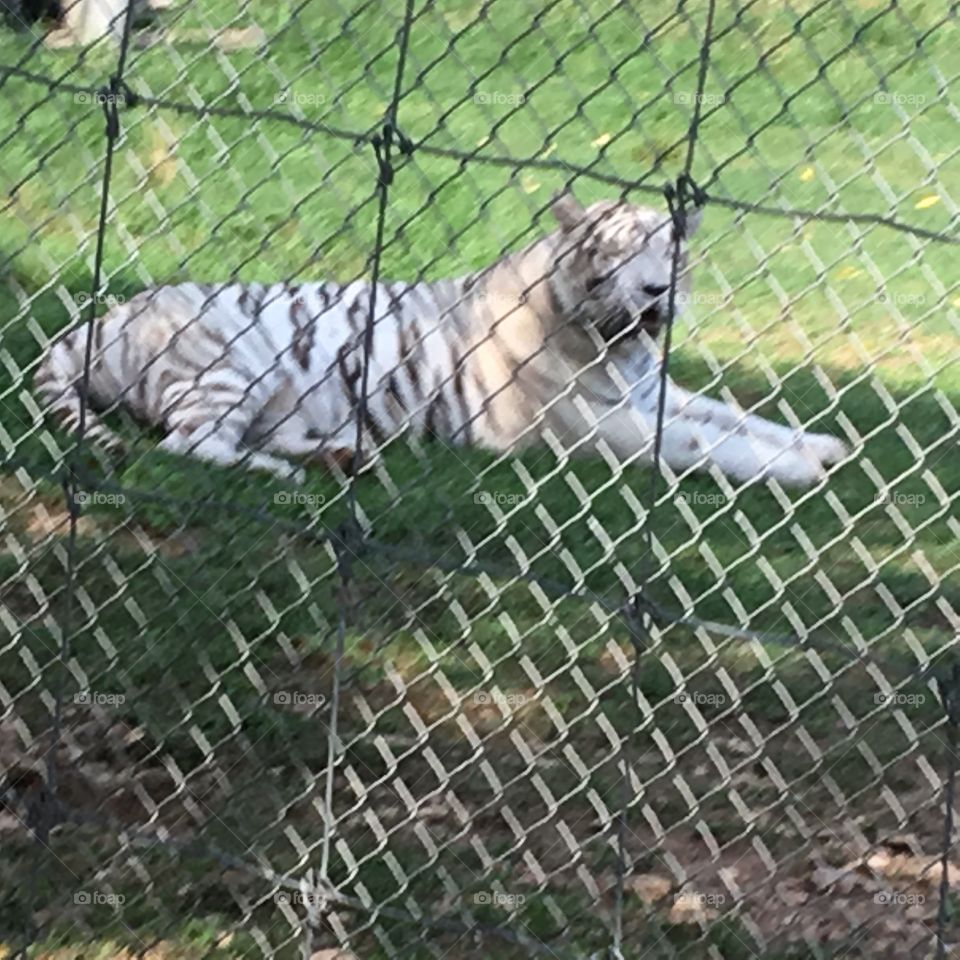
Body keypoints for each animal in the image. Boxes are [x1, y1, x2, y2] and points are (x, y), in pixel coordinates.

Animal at [33, 192, 849, 488]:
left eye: (668, 252)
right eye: (615, 253)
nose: (655, 294)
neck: (617, 345)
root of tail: (103, 317)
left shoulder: (654, 391)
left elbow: (729, 413)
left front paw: (824, 444)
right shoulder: (585, 426)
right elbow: (698, 441)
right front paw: (800, 469)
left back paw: (343, 457)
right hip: (232, 366)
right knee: (187, 444)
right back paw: (287, 474)